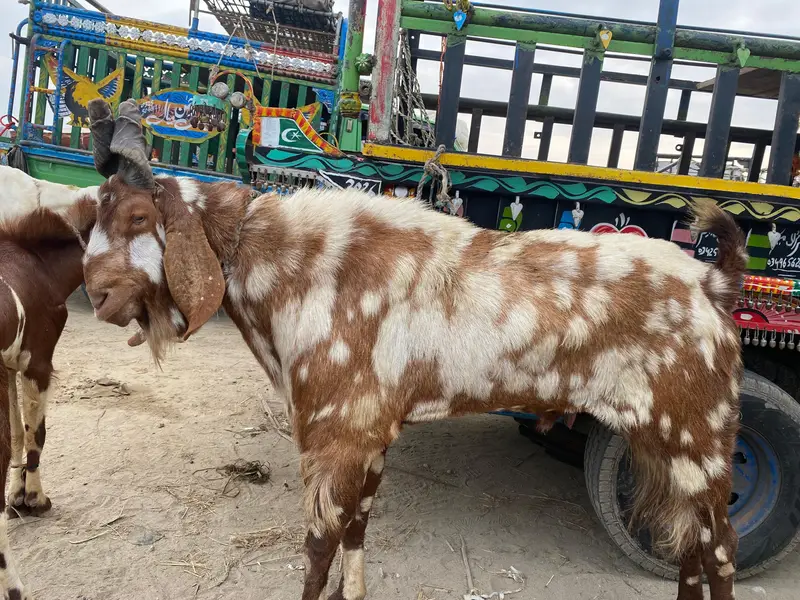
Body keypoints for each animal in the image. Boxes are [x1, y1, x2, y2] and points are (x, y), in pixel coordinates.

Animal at [83, 98, 746, 600]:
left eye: (139, 215)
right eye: (94, 213)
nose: (97, 294)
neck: (297, 265)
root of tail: (711, 285)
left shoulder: (337, 432)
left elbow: (319, 550)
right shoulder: (371, 436)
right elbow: (355, 534)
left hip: (703, 440)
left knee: (720, 552)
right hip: (662, 445)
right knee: (689, 547)